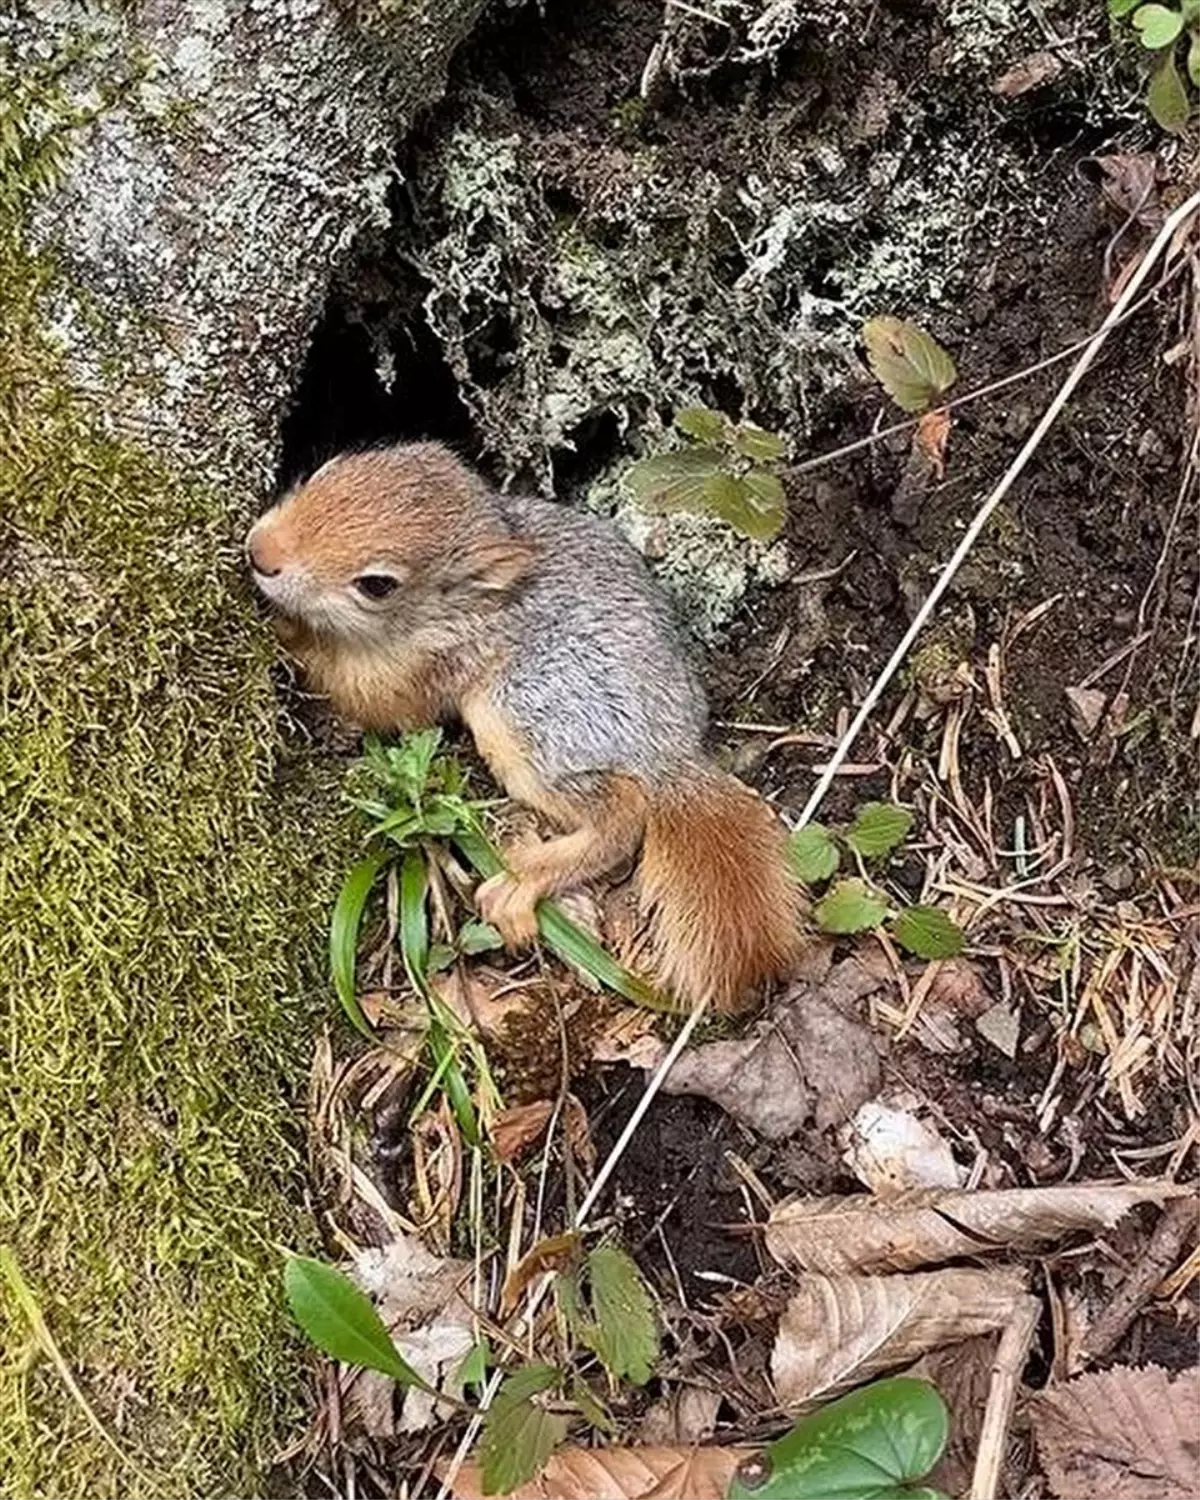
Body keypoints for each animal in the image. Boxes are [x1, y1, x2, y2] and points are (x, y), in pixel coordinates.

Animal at [249, 438, 804, 1014]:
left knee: (621, 815)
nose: (260, 553)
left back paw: (524, 879)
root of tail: (671, 753)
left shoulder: (428, 667)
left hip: (535, 718)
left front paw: (287, 635)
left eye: (377, 585)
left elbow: (372, 699)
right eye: (327, 469)